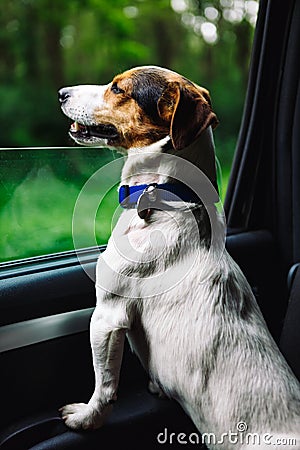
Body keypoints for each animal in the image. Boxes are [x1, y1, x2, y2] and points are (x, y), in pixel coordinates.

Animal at [58, 65, 300, 448]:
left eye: (118, 88)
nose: (61, 93)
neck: (164, 197)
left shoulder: (108, 316)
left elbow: (105, 385)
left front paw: (87, 419)